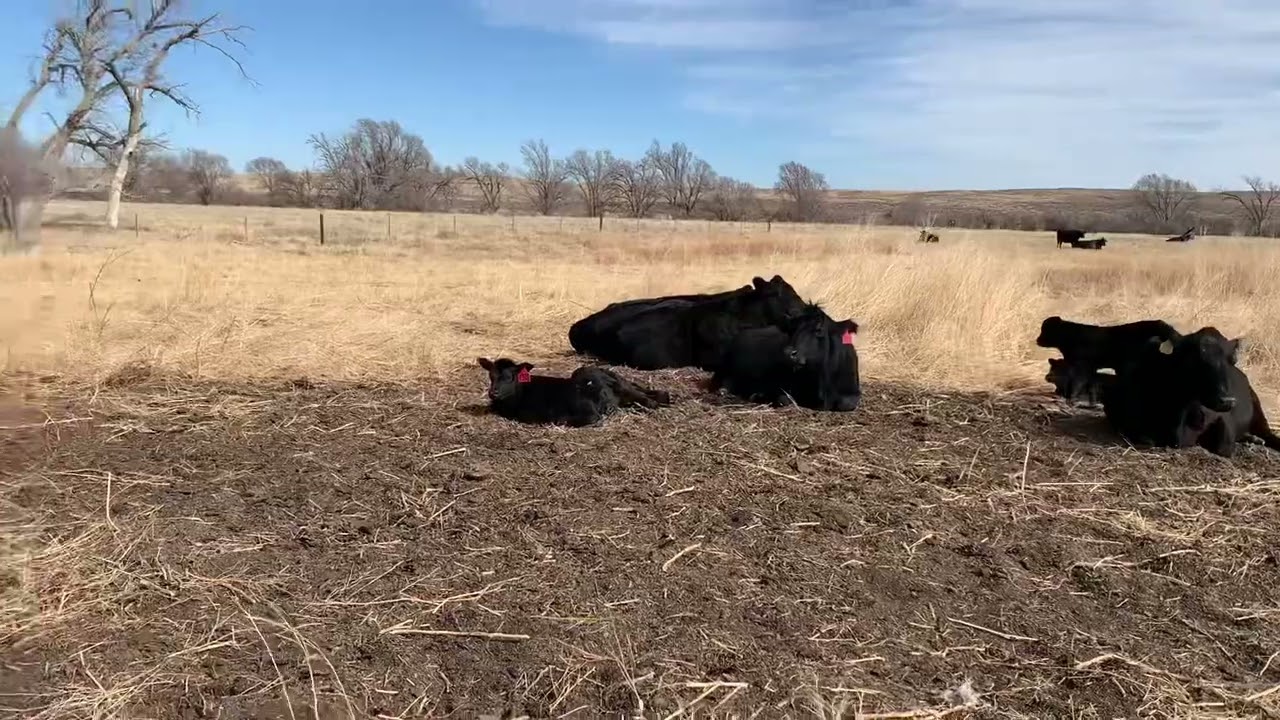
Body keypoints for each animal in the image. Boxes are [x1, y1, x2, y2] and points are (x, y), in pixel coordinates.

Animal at [1101, 328, 1280, 457]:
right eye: (1196, 358)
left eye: (1231, 360)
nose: (1227, 400)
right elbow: (1146, 439)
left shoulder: (1223, 418)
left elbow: (1224, 446)